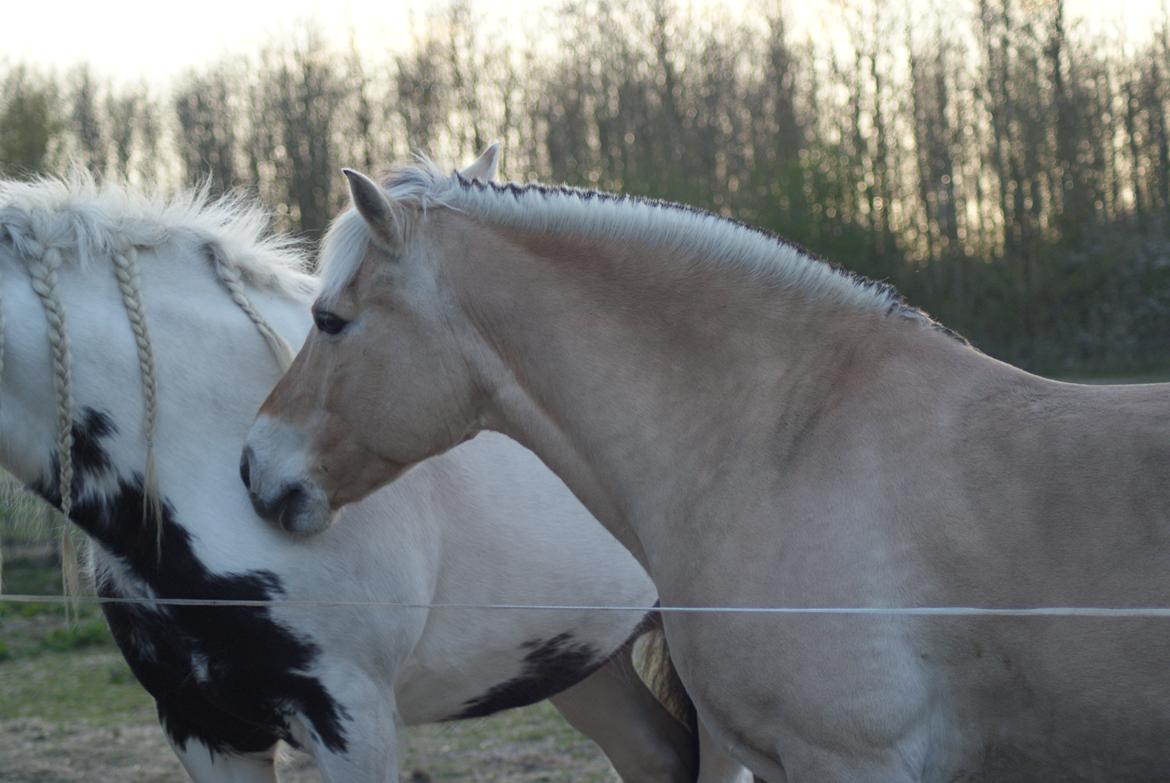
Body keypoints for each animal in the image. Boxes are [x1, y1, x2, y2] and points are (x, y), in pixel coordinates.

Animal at [0, 172, 702, 781]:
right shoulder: (204, 728)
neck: (194, 452)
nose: (258, 473)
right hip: (582, 661)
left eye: (330, 322)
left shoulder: (351, 715)